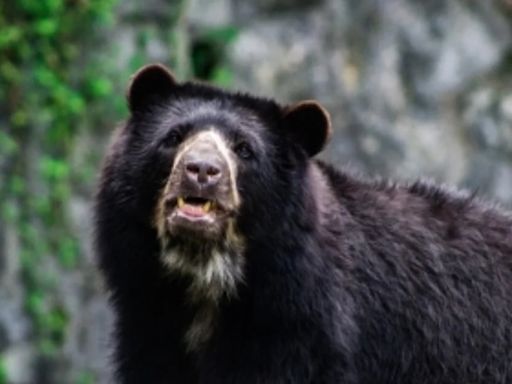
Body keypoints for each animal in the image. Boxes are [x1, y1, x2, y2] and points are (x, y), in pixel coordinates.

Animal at [95, 63, 512, 384]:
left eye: (244, 149)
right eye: (174, 136)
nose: (201, 171)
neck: (207, 282)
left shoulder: (304, 334)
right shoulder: (151, 321)